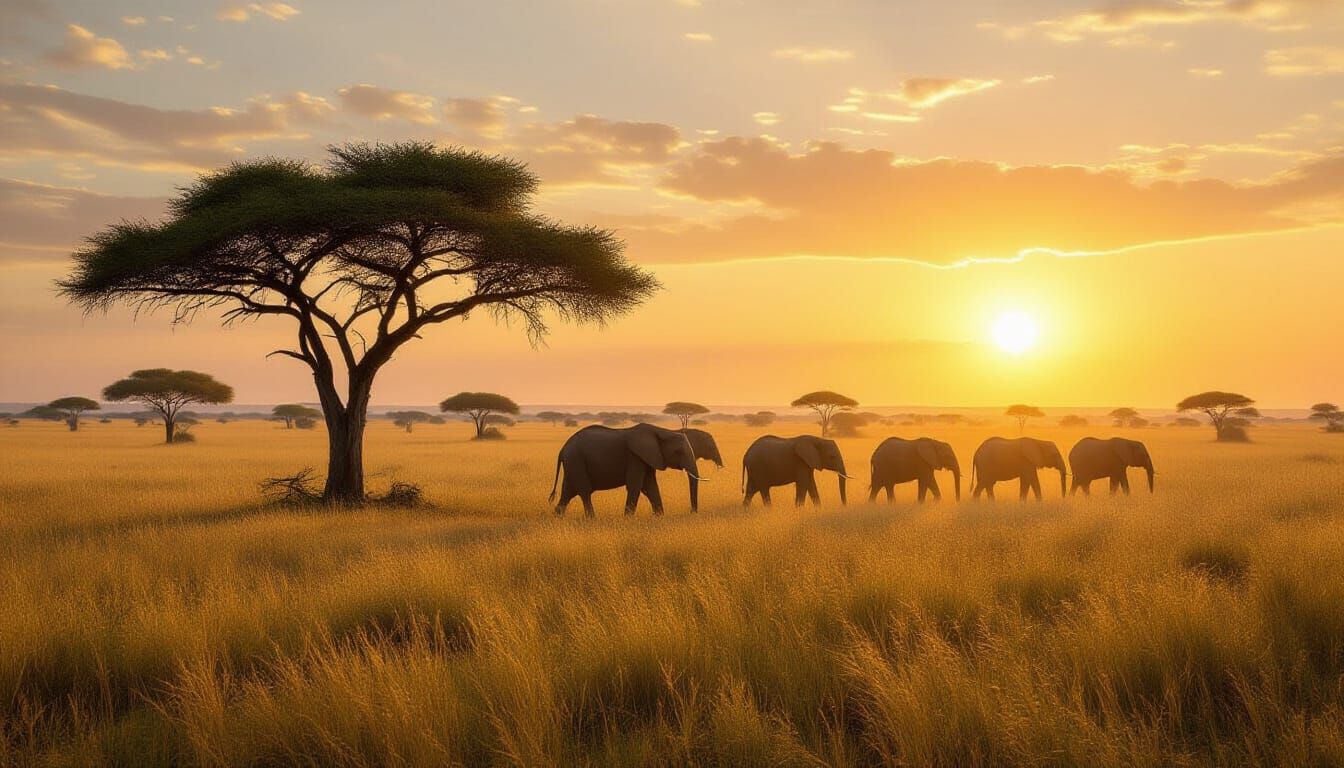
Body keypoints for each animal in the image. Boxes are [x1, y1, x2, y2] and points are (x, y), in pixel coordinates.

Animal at [549, 423, 705, 516]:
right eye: (679, 452)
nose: (691, 512)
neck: (661, 431)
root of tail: (562, 449)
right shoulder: (635, 457)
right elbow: (636, 486)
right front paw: (628, 520)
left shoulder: (648, 458)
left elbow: (651, 487)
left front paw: (659, 517)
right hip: (576, 460)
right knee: (584, 492)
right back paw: (591, 519)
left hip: (573, 463)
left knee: (568, 492)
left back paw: (557, 516)